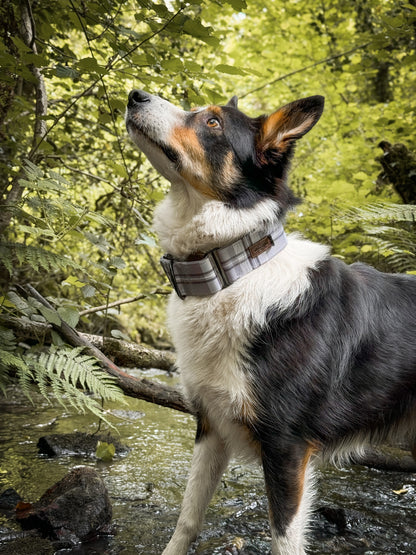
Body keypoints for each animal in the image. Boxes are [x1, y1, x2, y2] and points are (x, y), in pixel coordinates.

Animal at [126, 89, 416, 552]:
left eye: (212, 122)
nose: (135, 95)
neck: (231, 271)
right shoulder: (211, 425)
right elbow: (187, 517)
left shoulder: (286, 446)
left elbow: (283, 537)